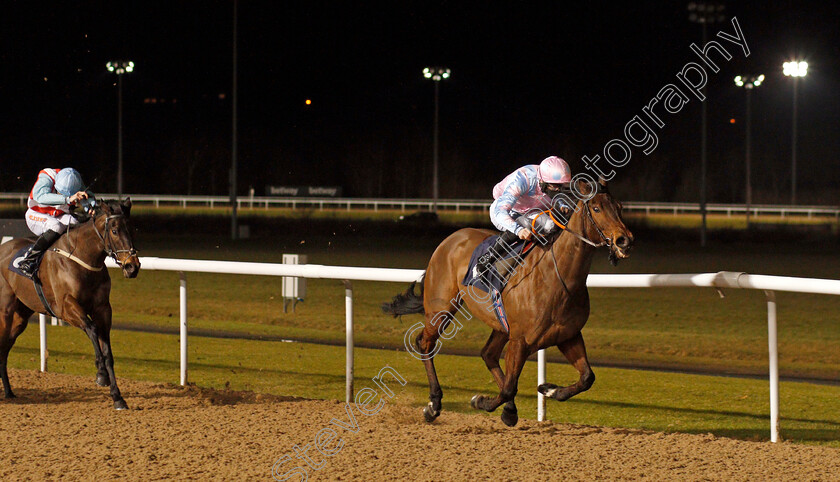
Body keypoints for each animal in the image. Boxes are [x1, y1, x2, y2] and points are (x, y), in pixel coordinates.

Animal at [0, 198, 139, 408]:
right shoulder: (66, 307)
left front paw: (117, 397)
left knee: (4, 349)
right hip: (5, 312)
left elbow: (108, 352)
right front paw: (101, 375)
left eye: (131, 229)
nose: (132, 266)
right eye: (114, 230)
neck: (83, 258)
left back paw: (9, 391)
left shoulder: (103, 309)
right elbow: (91, 329)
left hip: (19, 317)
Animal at [382, 180, 632, 426]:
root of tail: (450, 239)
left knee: (488, 354)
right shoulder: (520, 341)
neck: (557, 278)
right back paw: (434, 404)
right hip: (441, 309)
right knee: (425, 343)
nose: (624, 240)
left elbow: (587, 377)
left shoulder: (568, 336)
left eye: (619, 207)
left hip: (500, 323)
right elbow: (509, 388)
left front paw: (548, 390)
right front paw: (481, 402)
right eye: (597, 208)